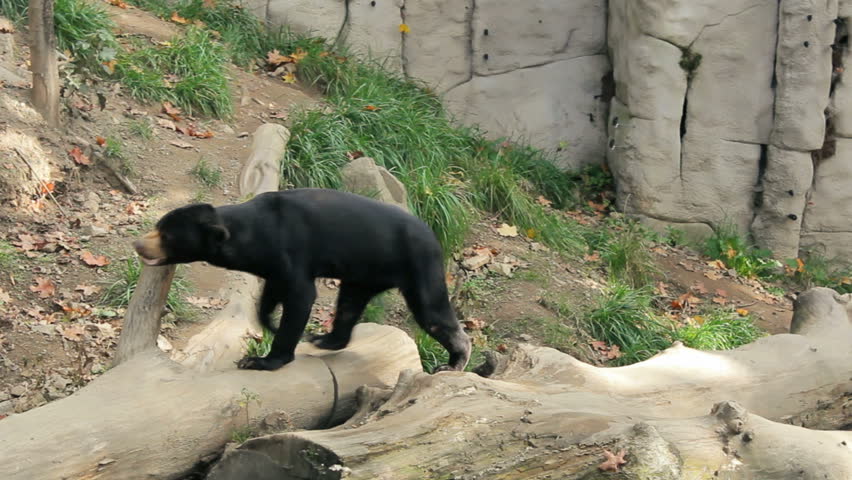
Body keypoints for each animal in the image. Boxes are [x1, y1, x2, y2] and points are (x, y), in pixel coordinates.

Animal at [133, 188, 471, 372]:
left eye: (167, 236)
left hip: (418, 264)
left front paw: (261, 360)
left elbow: (300, 297)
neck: (250, 235)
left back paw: (455, 361)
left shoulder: (291, 251)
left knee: (432, 312)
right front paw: (269, 323)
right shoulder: (272, 266)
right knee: (349, 305)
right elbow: (270, 297)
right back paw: (326, 339)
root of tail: (434, 237)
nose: (138, 244)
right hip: (363, 274)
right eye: (158, 225)